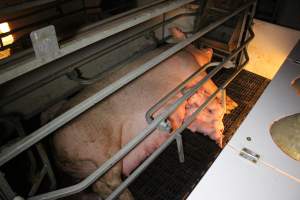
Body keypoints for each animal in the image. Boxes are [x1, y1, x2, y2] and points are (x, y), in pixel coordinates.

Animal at [48, 28, 237, 200]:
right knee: (111, 181)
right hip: (101, 152)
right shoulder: (194, 70)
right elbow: (212, 85)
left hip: (88, 165)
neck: (184, 50)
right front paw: (233, 105)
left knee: (99, 187)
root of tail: (56, 150)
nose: (209, 48)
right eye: (190, 37)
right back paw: (129, 197)